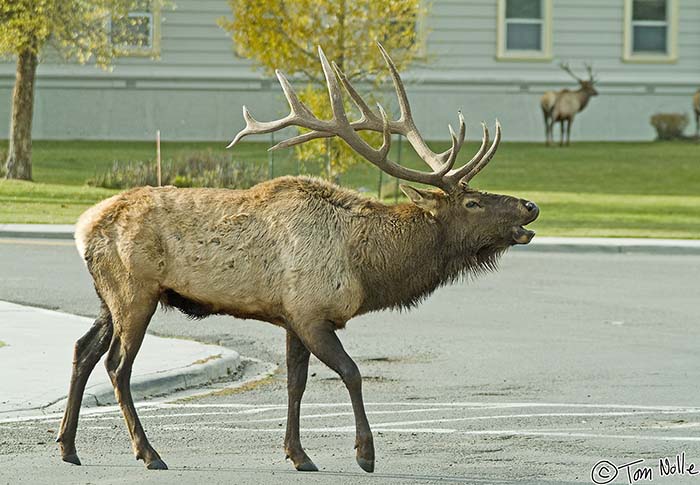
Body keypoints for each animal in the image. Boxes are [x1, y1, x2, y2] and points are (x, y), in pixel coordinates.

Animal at [58, 44, 540, 472]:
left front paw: (299, 455)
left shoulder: (291, 316)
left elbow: (295, 384)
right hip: (135, 291)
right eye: (472, 203)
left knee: (83, 349)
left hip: (109, 297)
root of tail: (83, 226)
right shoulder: (311, 312)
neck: (365, 266)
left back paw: (68, 447)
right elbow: (351, 372)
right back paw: (149, 453)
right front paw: (364, 454)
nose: (530, 206)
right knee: (117, 365)